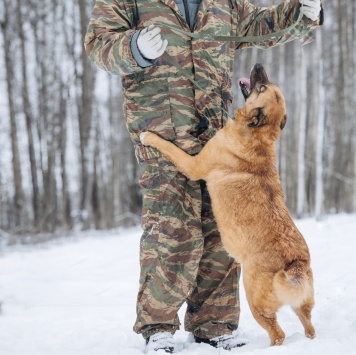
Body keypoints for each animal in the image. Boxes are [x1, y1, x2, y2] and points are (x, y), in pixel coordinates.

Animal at [140, 64, 316, 348]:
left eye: (261, 87)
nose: (259, 66)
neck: (259, 136)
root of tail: (295, 264)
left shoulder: (193, 165)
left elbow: (169, 147)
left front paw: (149, 136)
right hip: (304, 305)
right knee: (309, 327)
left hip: (255, 301)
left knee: (277, 334)